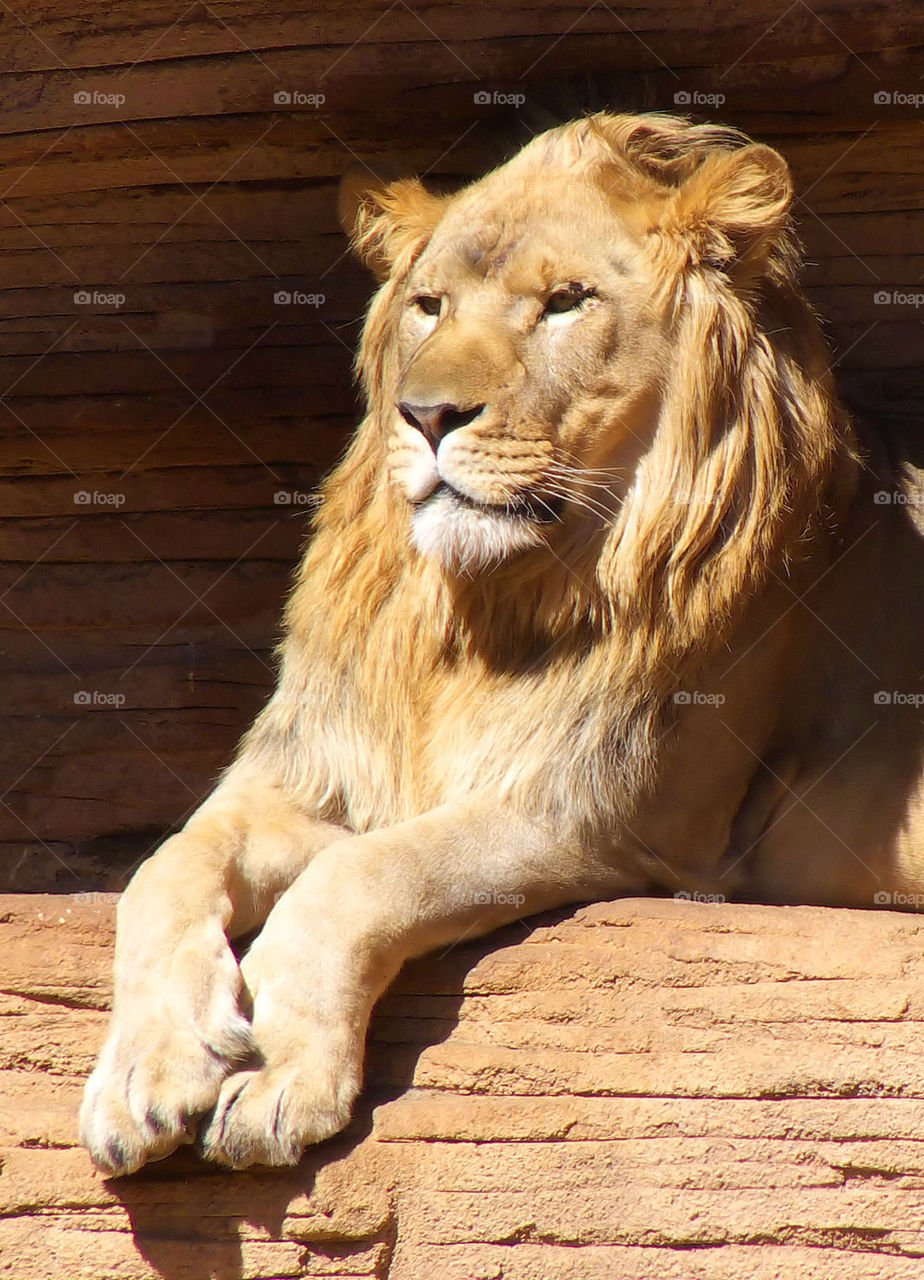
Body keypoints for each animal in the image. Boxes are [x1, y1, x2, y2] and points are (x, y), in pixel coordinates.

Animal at [80, 112, 924, 1175]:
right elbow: (165, 867)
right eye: (429, 307)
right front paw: (146, 1073)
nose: (426, 414)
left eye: (565, 302)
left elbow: (366, 874)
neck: (483, 607)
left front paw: (273, 1068)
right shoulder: (319, 773)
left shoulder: (608, 812)